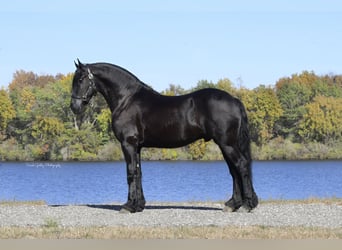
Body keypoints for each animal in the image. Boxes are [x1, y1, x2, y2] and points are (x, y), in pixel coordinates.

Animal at [70, 59, 256, 213]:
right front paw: (139, 205)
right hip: (225, 145)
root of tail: (234, 100)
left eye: (80, 79)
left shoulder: (128, 144)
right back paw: (233, 204)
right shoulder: (137, 146)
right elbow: (138, 173)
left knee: (241, 165)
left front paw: (128, 206)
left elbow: (130, 172)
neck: (127, 100)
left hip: (227, 144)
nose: (74, 106)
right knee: (234, 170)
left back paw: (247, 205)